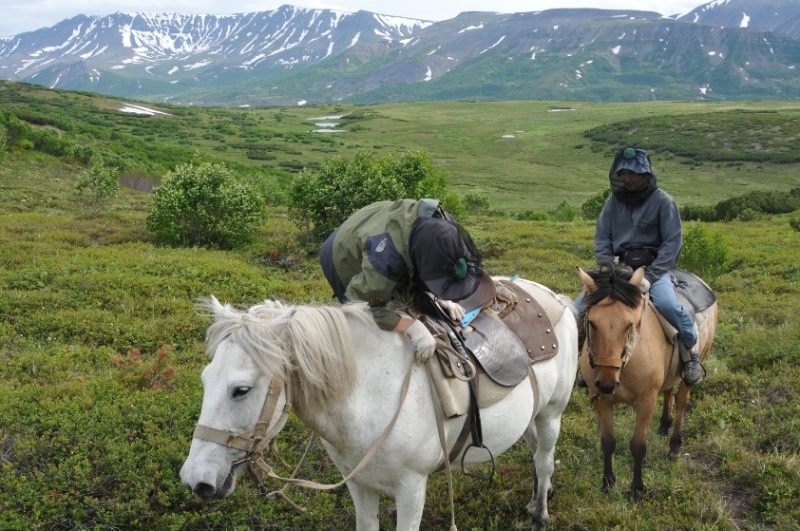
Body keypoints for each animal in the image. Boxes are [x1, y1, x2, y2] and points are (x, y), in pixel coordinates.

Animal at [580, 264, 716, 500]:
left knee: (681, 402)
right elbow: (608, 443)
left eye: (630, 325)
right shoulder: (602, 402)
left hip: (693, 369)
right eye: (591, 323)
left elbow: (637, 446)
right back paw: (663, 426)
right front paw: (608, 483)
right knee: (669, 391)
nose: (606, 383)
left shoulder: (646, 403)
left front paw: (637, 489)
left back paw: (674, 446)